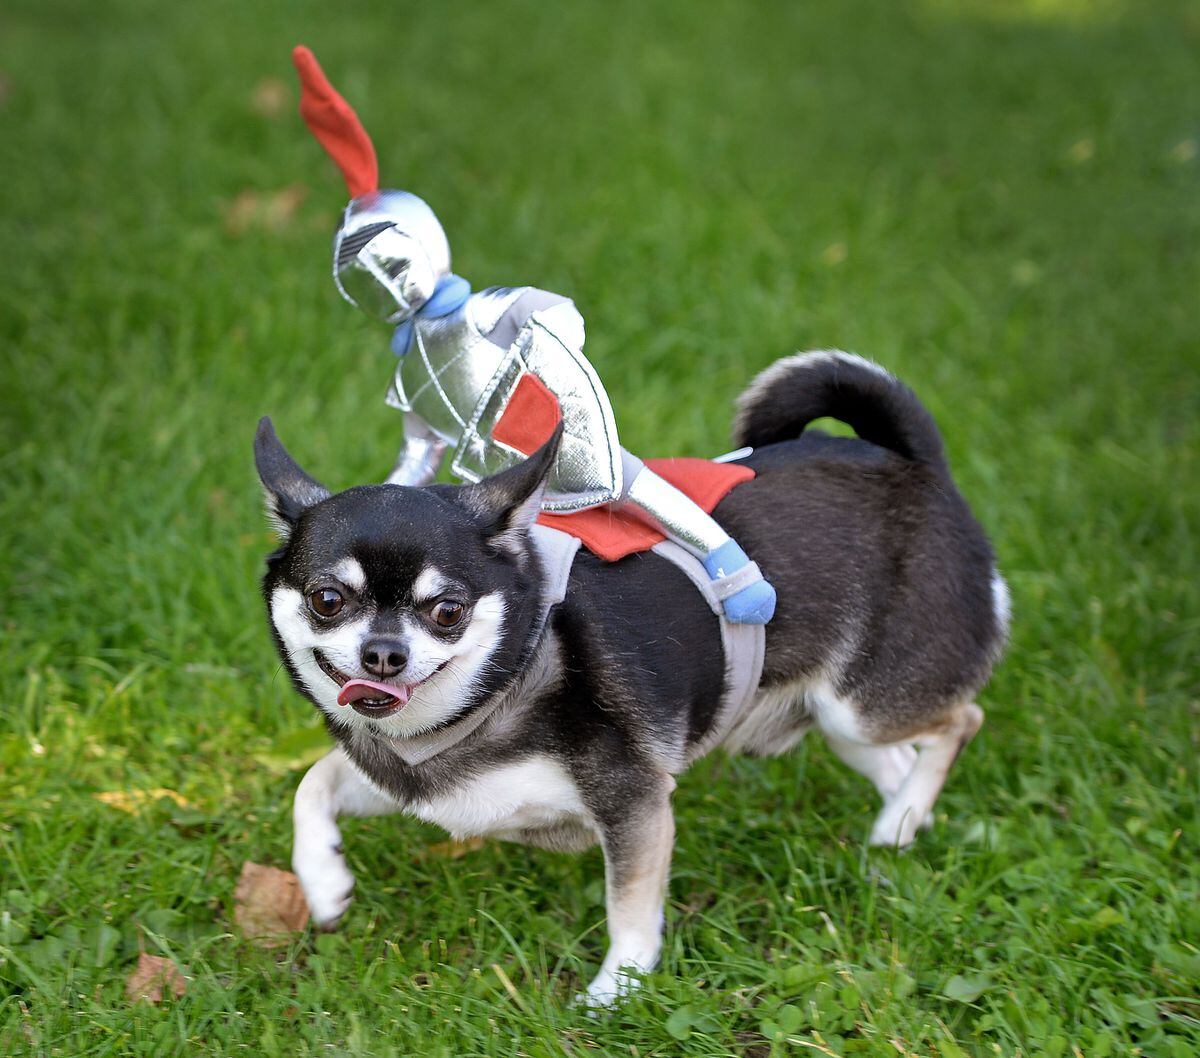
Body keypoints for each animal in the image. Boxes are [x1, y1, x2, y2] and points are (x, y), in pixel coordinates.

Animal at [258, 350, 1008, 1002]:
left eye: (447, 611)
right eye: (328, 600)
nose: (384, 654)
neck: (500, 685)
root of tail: (914, 464)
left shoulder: (635, 806)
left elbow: (630, 906)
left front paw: (616, 992)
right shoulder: (409, 784)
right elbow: (312, 782)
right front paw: (323, 880)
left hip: (865, 704)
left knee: (964, 720)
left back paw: (905, 815)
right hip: (836, 719)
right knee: (901, 760)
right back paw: (897, 829)